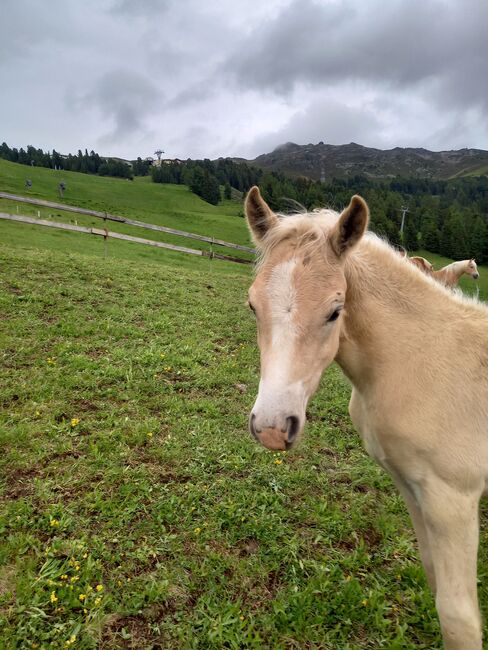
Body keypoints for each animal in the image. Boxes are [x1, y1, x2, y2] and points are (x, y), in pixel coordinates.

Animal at [246, 186, 488, 648]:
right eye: (252, 306)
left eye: (335, 311)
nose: (271, 429)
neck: (423, 359)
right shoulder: (412, 486)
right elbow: (433, 578)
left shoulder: (453, 499)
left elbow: (458, 617)